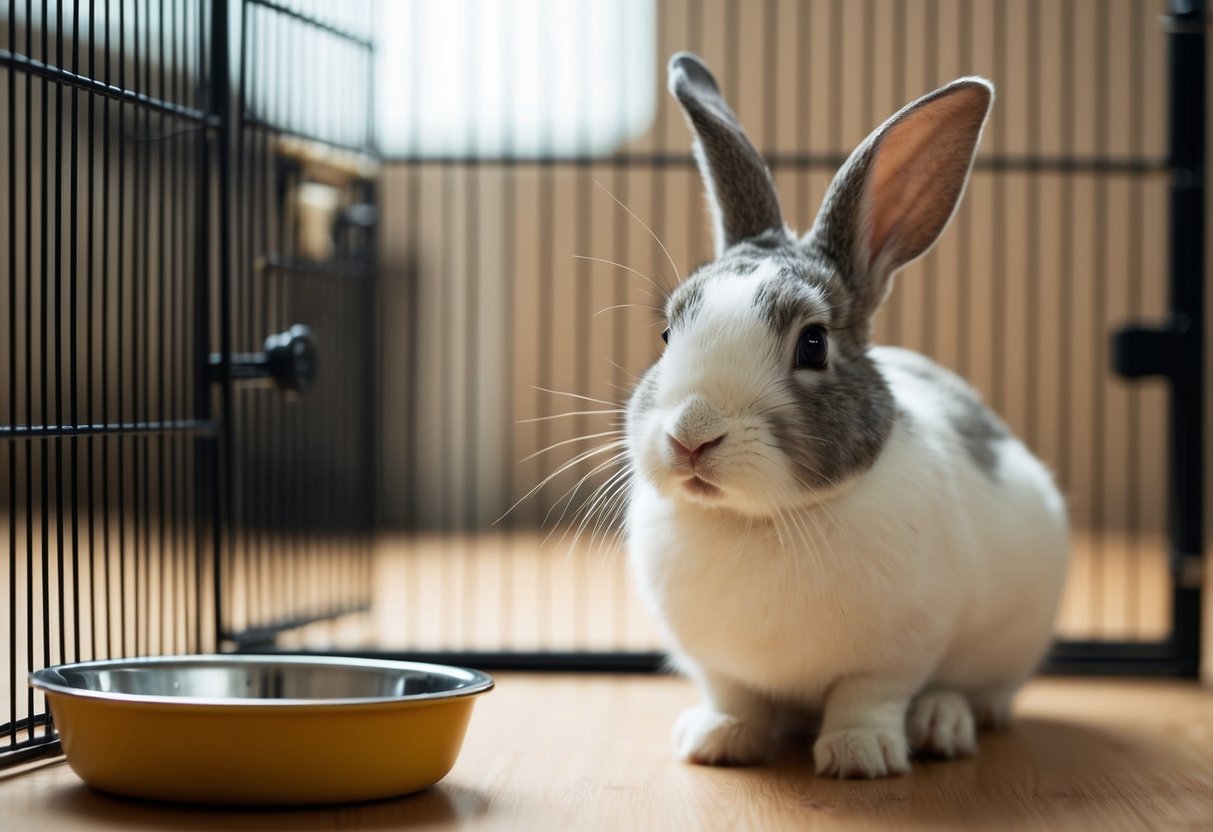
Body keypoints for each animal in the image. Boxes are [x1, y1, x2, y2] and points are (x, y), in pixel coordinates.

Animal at [624, 53, 1069, 779]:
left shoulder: (895, 652)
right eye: (667, 334)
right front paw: (716, 740)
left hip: (1009, 647)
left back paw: (940, 723)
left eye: (812, 345)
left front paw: (860, 756)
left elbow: (867, 697)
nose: (690, 437)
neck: (757, 523)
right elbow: (735, 698)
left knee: (981, 696)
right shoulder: (721, 665)